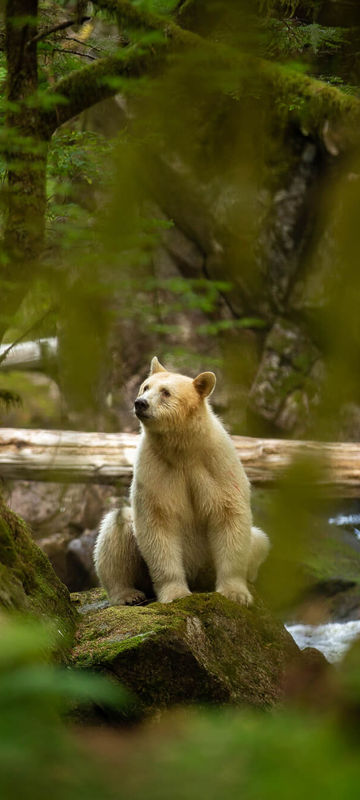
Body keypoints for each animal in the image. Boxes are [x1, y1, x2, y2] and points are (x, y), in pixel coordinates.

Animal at [94, 360, 268, 604]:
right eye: (145, 387)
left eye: (166, 392)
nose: (140, 403)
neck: (183, 449)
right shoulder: (155, 467)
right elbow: (157, 521)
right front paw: (175, 593)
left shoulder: (216, 463)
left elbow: (228, 514)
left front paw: (235, 593)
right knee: (117, 529)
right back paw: (128, 594)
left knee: (260, 540)